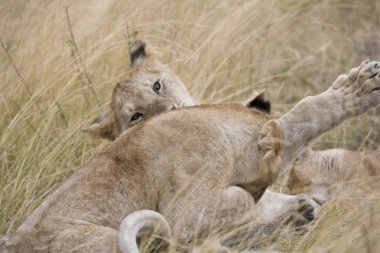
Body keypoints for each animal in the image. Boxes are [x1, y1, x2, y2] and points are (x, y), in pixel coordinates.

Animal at [2, 42, 380, 253]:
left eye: (157, 85)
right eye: (135, 115)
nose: (170, 109)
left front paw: (298, 211)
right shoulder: (185, 211)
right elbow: (301, 118)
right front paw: (357, 89)